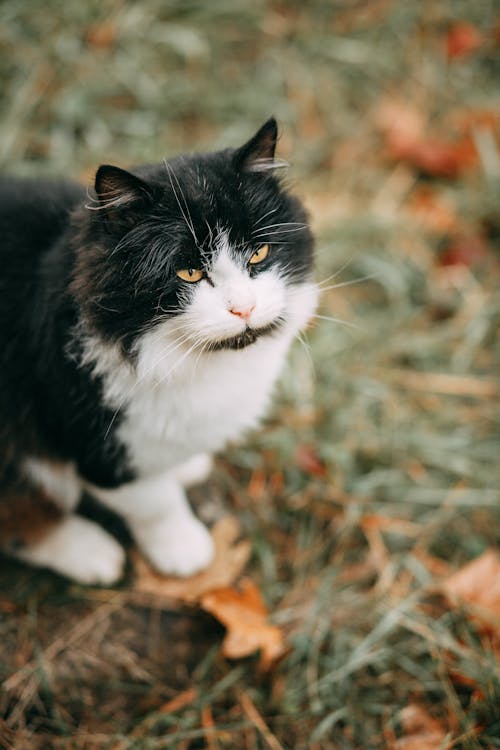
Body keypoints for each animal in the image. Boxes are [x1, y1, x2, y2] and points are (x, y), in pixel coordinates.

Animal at [0, 119, 316, 588]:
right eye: (189, 273)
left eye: (259, 253)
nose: (244, 308)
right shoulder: (102, 447)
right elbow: (155, 502)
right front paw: (183, 551)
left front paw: (185, 465)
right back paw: (92, 553)